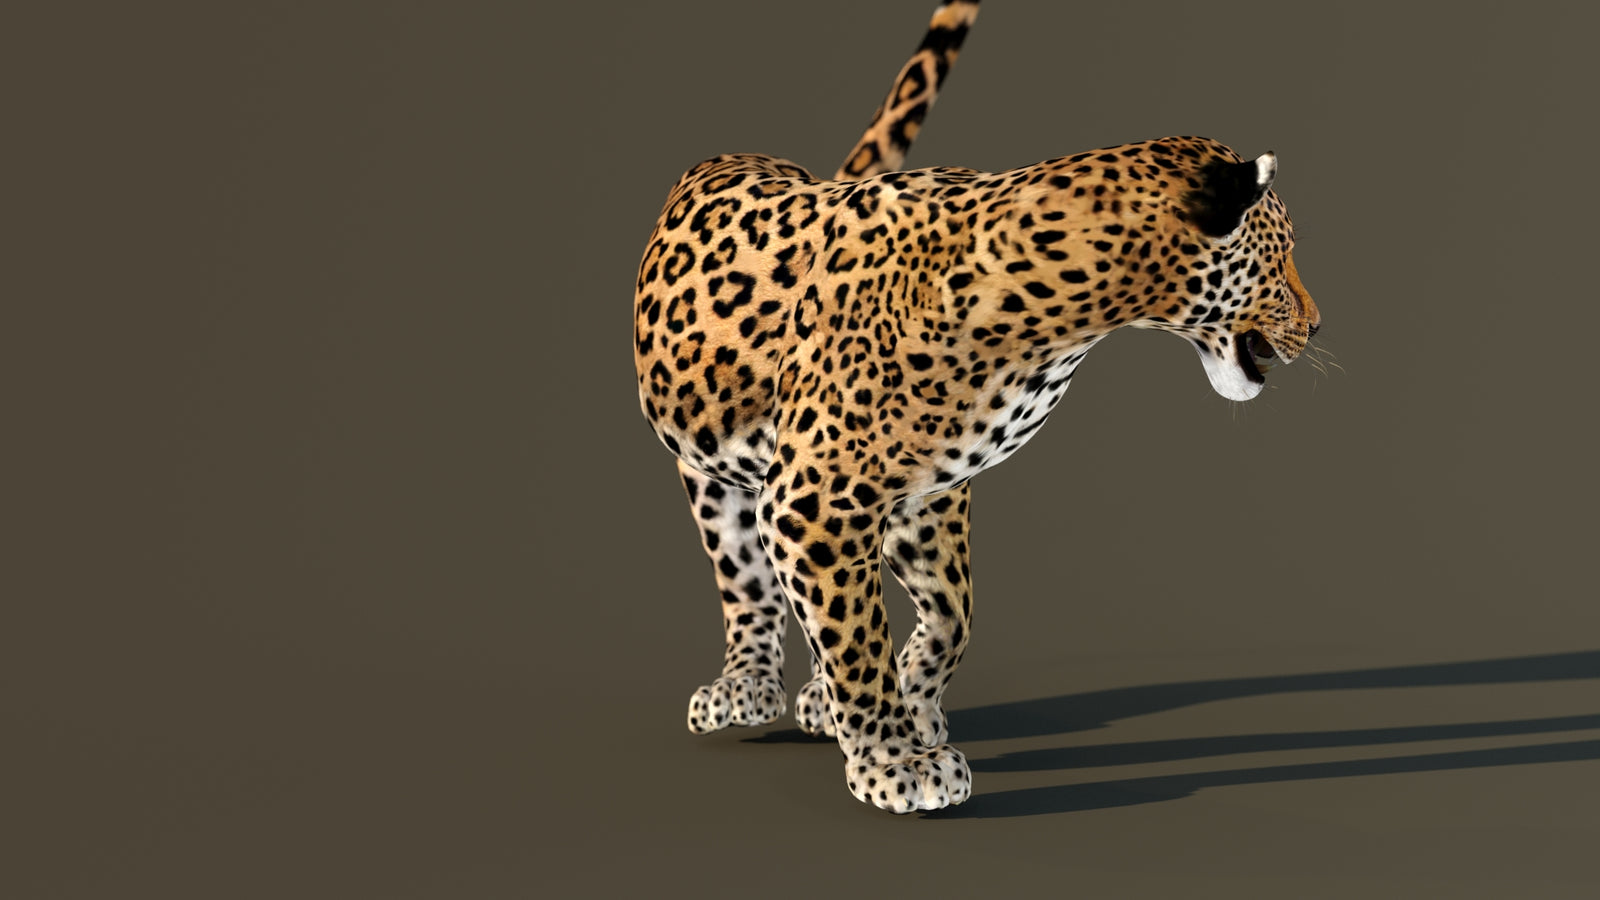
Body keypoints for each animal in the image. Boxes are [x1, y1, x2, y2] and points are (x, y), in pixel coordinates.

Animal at [631, 0, 1321, 813]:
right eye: (1282, 255)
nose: (1318, 325)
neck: (1063, 318)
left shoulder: (928, 496)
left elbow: (951, 613)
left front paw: (908, 703)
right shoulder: (816, 500)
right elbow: (856, 636)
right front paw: (895, 762)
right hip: (715, 476)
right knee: (743, 578)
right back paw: (743, 686)